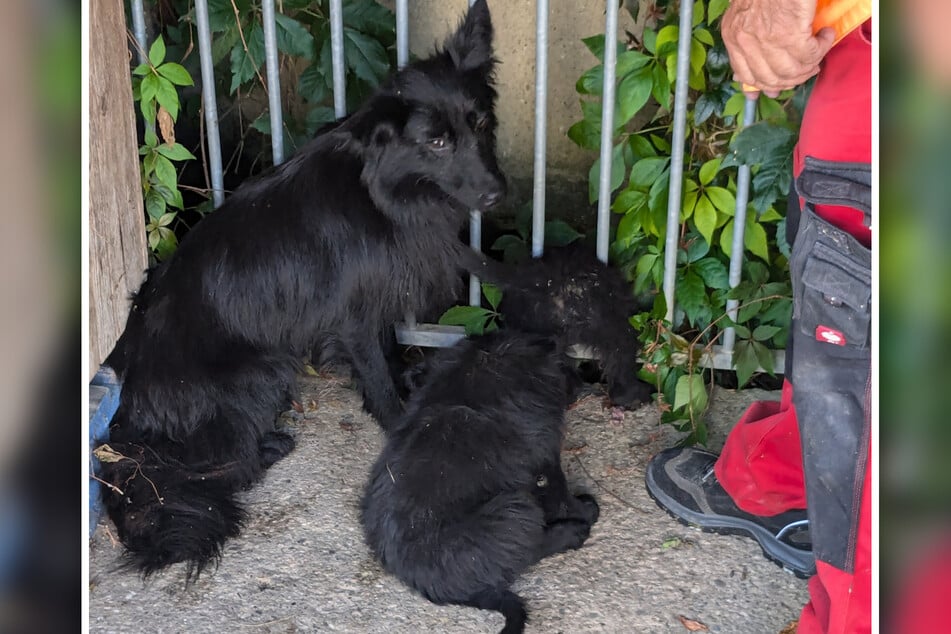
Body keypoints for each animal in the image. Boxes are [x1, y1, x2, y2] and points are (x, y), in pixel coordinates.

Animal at [98, 0, 506, 576]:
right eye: (438, 142)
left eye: (480, 123)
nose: (497, 193)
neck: (384, 192)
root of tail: (130, 422)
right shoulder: (352, 319)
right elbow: (377, 379)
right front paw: (401, 421)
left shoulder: (376, 305)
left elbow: (389, 354)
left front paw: (409, 377)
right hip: (262, 370)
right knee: (219, 466)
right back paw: (269, 446)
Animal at [360, 330, 600, 632]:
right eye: (568, 366)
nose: (583, 382)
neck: (478, 365)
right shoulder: (544, 459)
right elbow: (561, 494)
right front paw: (587, 510)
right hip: (515, 508)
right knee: (523, 553)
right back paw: (571, 533)